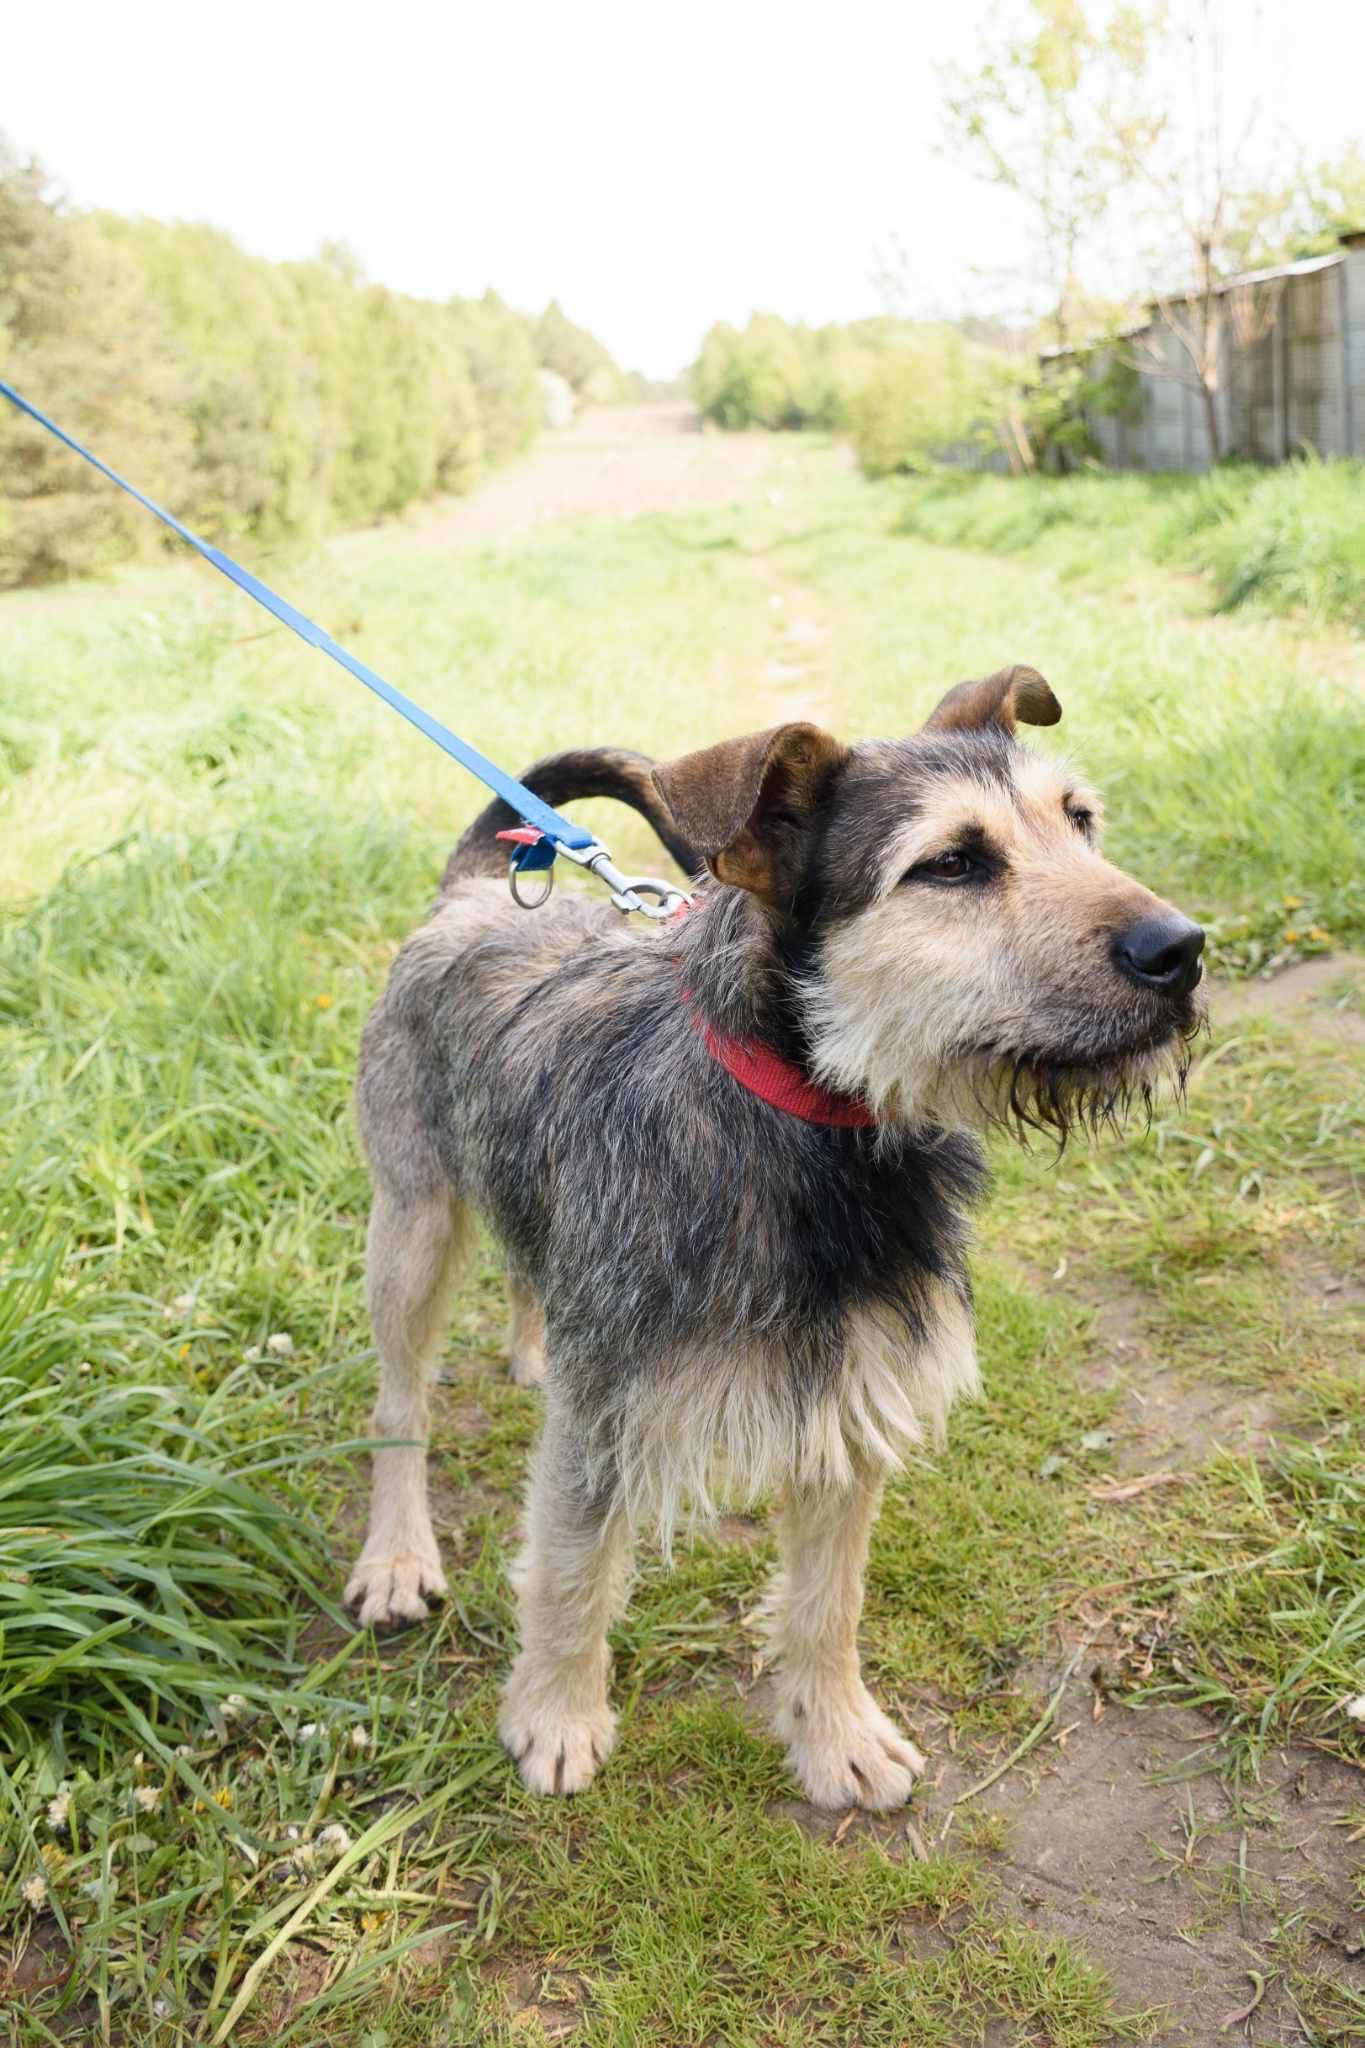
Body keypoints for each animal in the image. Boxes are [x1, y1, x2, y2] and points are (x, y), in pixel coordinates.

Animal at [343, 667, 1203, 1810]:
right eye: (952, 864)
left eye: (1081, 822)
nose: (1183, 949)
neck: (818, 1132)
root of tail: (476, 891)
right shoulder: (603, 1421)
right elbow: (573, 1577)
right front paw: (556, 1717)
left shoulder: (853, 1396)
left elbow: (827, 1602)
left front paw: (835, 1732)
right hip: (411, 1221)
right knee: (401, 1402)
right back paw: (397, 1555)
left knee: (532, 1266)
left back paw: (531, 1348)